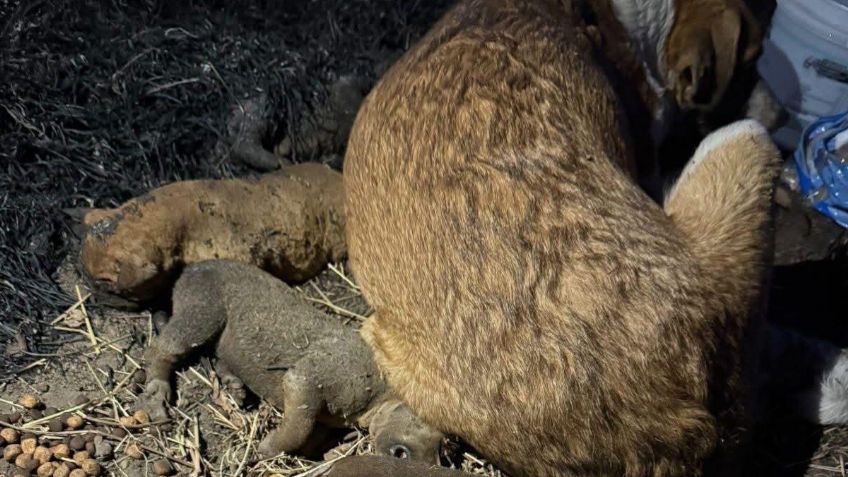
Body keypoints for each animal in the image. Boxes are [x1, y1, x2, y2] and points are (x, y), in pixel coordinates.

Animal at [139, 260, 440, 462]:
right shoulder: (309, 378)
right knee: (162, 349)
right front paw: (264, 450)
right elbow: (298, 427)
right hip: (202, 310)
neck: (378, 399)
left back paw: (236, 389)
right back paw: (158, 400)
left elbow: (309, 436)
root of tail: (188, 269)